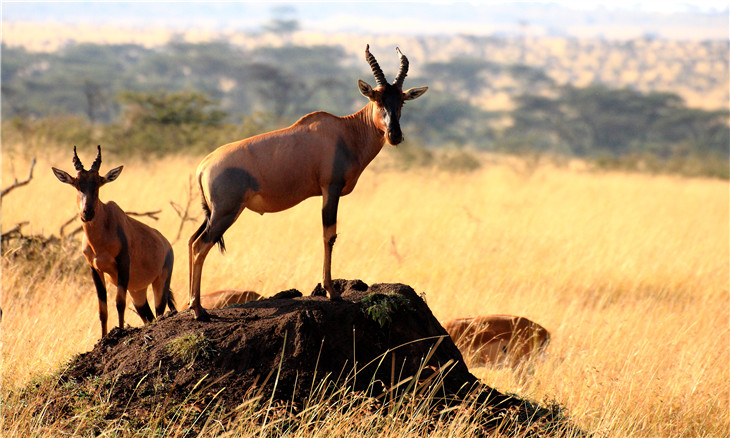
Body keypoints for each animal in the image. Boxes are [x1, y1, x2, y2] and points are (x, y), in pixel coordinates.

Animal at [52, 145, 176, 338]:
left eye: (98, 183)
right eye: (77, 183)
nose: (87, 213)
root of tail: (167, 244)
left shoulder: (123, 264)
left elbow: (119, 303)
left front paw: (120, 331)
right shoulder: (94, 269)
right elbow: (102, 309)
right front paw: (104, 337)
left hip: (160, 283)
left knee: (159, 312)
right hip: (137, 291)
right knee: (147, 315)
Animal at [188, 44, 426, 320]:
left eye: (401, 100)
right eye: (376, 99)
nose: (394, 135)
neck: (345, 131)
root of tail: (203, 166)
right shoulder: (330, 189)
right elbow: (329, 235)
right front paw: (332, 292)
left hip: (214, 213)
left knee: (192, 240)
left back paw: (192, 305)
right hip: (226, 212)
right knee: (200, 246)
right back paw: (199, 310)